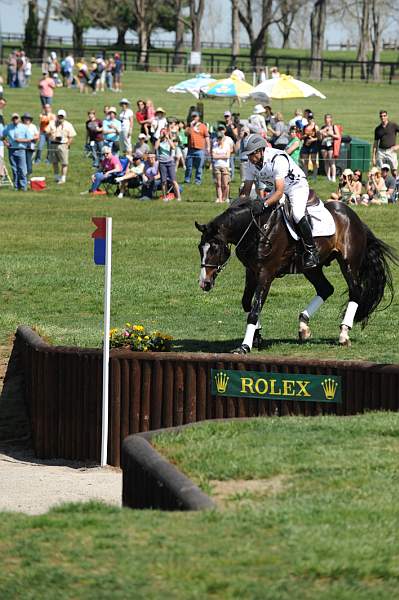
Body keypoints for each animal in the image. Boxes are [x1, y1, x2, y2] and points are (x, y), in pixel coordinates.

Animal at [195, 195, 398, 352]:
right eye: (199, 248)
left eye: (214, 248)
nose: (204, 283)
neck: (256, 229)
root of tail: (354, 217)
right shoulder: (251, 271)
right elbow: (248, 304)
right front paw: (257, 337)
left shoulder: (266, 273)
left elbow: (254, 309)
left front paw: (245, 346)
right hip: (311, 268)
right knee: (325, 289)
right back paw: (303, 325)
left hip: (348, 263)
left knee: (355, 291)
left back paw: (343, 333)